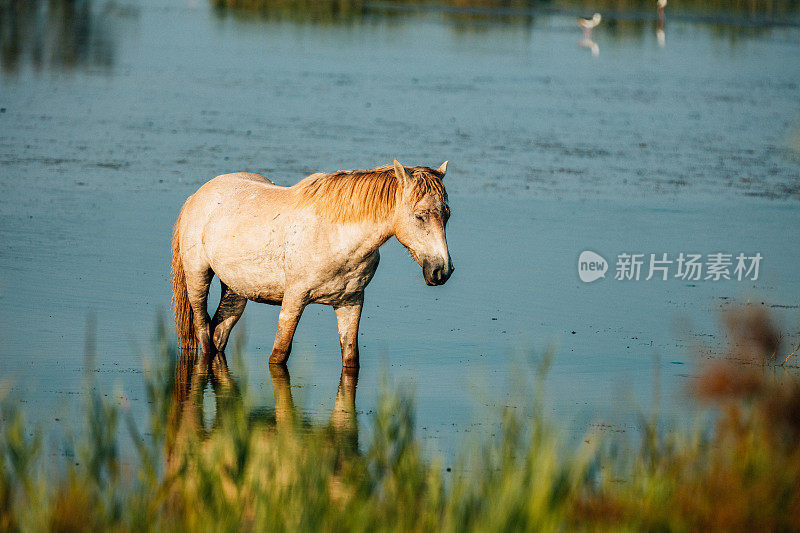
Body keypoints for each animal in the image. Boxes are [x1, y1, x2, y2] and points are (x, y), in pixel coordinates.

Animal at [170, 158, 454, 366]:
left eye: (447, 215)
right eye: (419, 216)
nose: (442, 271)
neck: (335, 236)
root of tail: (196, 196)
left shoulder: (351, 303)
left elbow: (351, 358)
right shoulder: (294, 299)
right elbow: (279, 354)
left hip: (236, 290)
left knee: (220, 330)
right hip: (198, 278)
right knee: (203, 332)